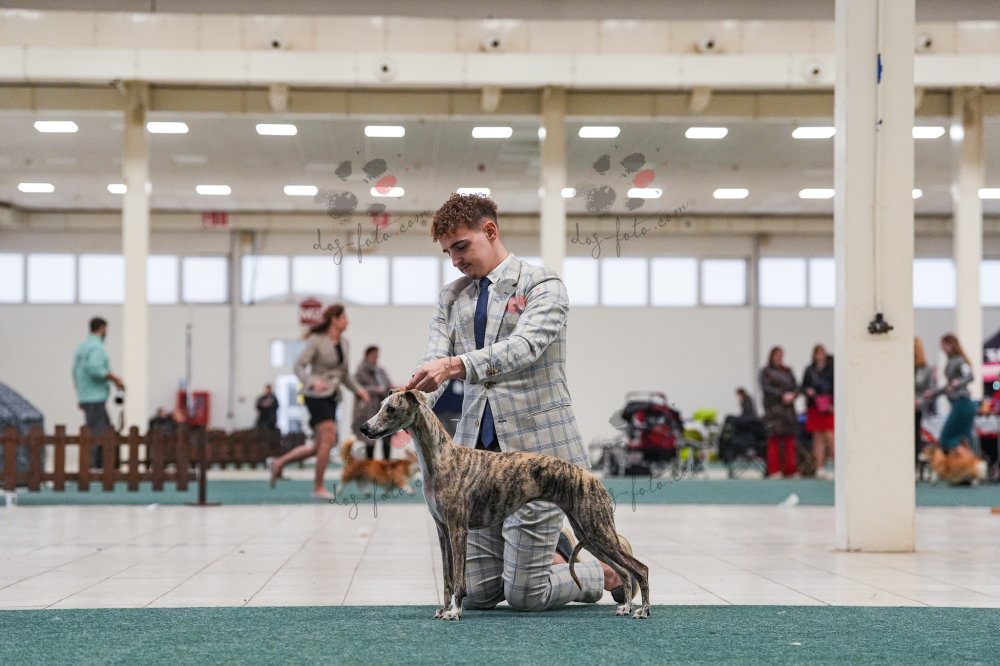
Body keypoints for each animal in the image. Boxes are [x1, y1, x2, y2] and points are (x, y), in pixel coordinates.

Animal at [360, 389, 650, 621]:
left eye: (391, 408)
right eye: (381, 405)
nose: (364, 428)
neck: (443, 459)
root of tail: (593, 477)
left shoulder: (458, 530)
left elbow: (458, 580)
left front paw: (455, 611)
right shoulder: (442, 531)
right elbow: (446, 578)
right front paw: (443, 609)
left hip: (597, 528)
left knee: (640, 568)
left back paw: (643, 610)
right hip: (587, 532)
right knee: (624, 572)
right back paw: (626, 607)